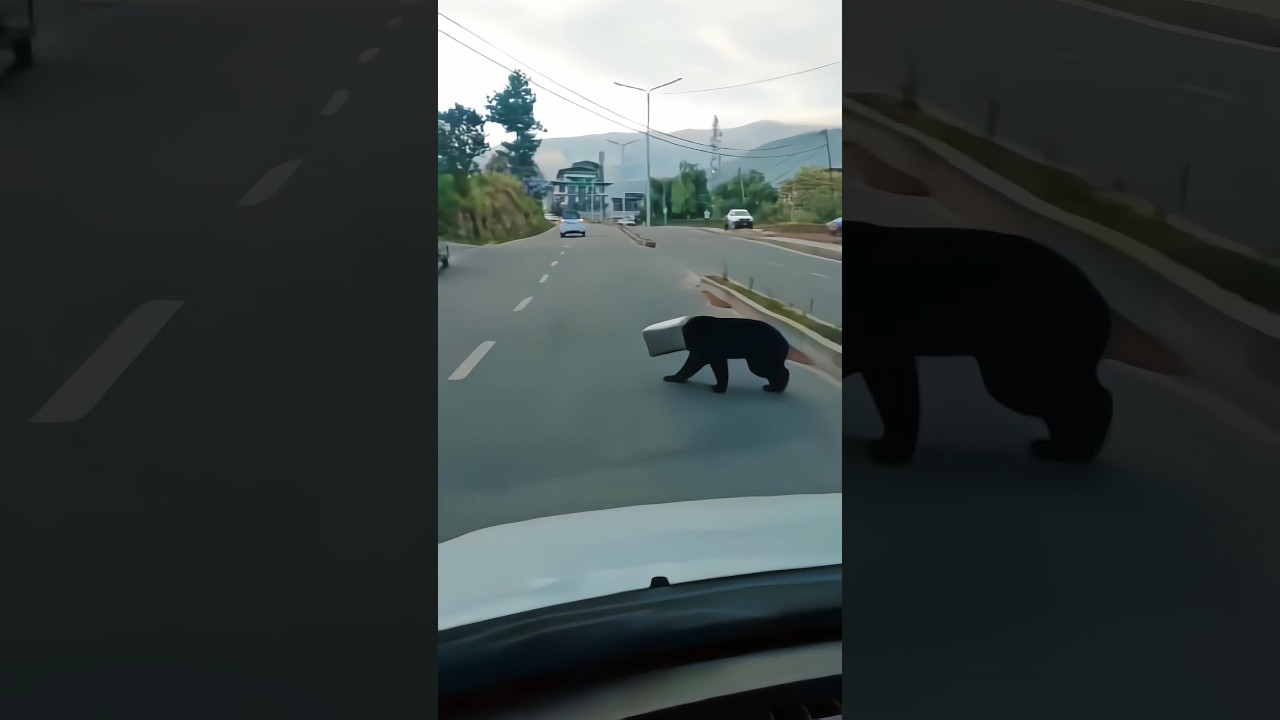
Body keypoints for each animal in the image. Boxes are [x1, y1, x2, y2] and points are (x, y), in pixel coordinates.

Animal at [663, 316, 792, 394]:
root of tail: (786, 344)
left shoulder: (704, 350)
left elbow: (690, 365)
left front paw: (671, 377)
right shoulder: (716, 356)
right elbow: (721, 370)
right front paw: (719, 387)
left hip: (761, 357)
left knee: (777, 370)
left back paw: (775, 388)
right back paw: (773, 386)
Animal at [844, 221, 1114, 465]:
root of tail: (1101, 304)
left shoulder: (886, 350)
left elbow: (898, 401)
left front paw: (891, 451)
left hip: (1022, 365)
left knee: (1086, 397)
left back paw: (1073, 450)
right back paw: (1063, 446)